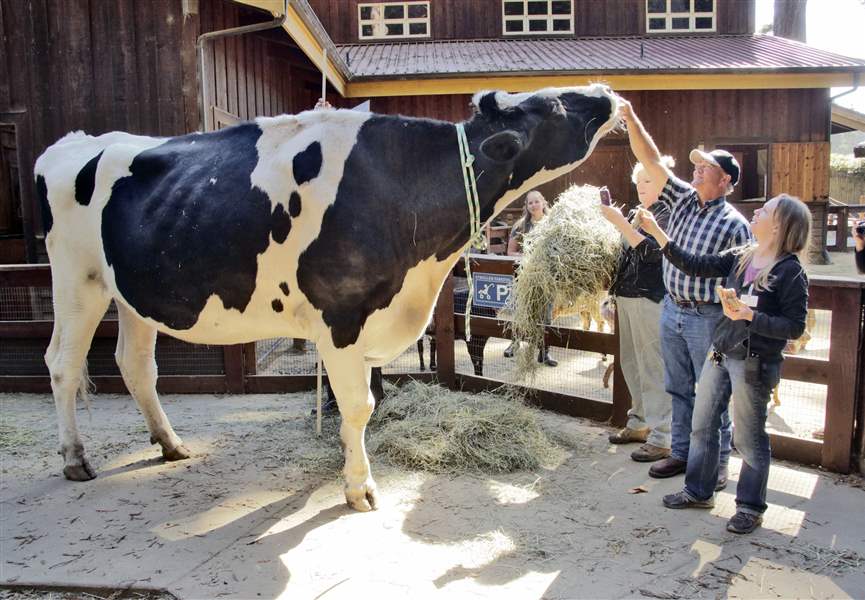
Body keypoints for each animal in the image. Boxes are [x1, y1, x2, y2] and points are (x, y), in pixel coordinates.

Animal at [35, 84, 621, 511]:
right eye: (553, 106)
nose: (606, 91)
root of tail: (72, 143)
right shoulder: (341, 315)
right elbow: (360, 405)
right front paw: (359, 488)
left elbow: (365, 399)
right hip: (77, 278)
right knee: (62, 363)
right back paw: (74, 459)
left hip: (131, 291)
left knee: (135, 364)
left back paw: (170, 443)